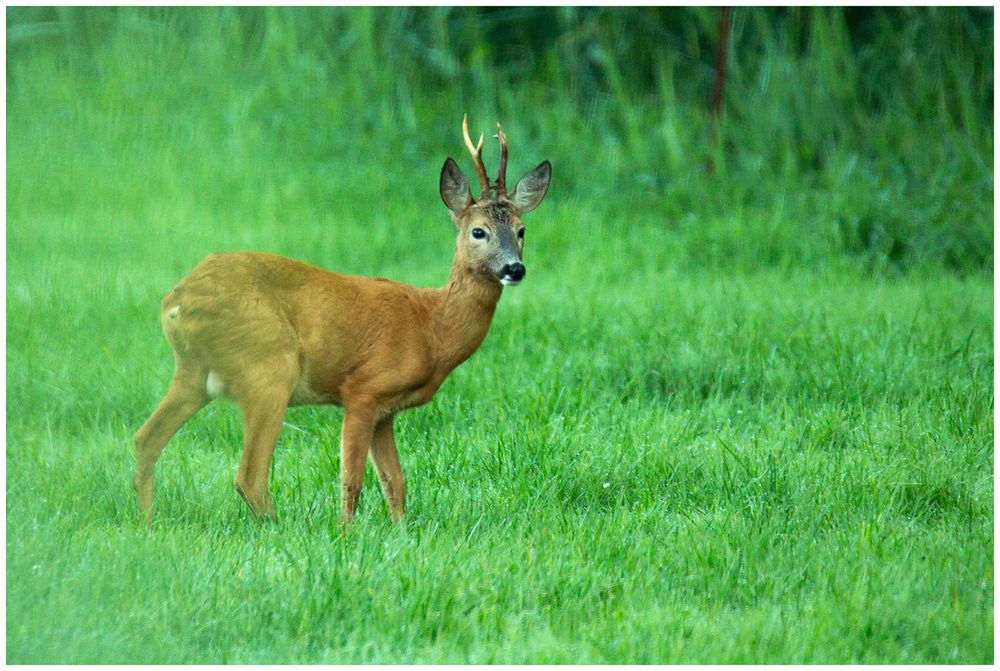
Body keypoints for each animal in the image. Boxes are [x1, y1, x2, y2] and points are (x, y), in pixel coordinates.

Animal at [134, 114, 552, 524]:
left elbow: (395, 483)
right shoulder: (363, 390)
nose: (514, 268)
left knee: (145, 439)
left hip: (195, 373)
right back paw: (278, 528)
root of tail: (175, 301)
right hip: (270, 366)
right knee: (248, 474)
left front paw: (399, 531)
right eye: (478, 231)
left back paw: (147, 523)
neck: (432, 327)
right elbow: (352, 479)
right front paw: (346, 532)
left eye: (521, 230)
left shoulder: (386, 411)